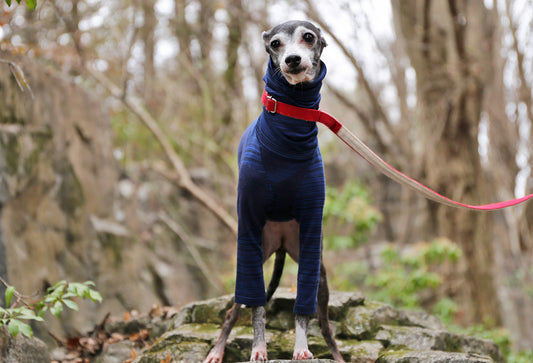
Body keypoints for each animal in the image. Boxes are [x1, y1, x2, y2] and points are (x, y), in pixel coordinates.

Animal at [202, 20, 342, 363]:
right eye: (275, 43)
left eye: (309, 37)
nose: (292, 59)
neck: (288, 139)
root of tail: (279, 242)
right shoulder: (250, 225)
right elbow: (257, 310)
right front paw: (259, 348)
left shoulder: (311, 229)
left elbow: (302, 310)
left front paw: (301, 347)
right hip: (254, 252)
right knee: (235, 310)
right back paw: (217, 350)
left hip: (318, 272)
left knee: (324, 322)